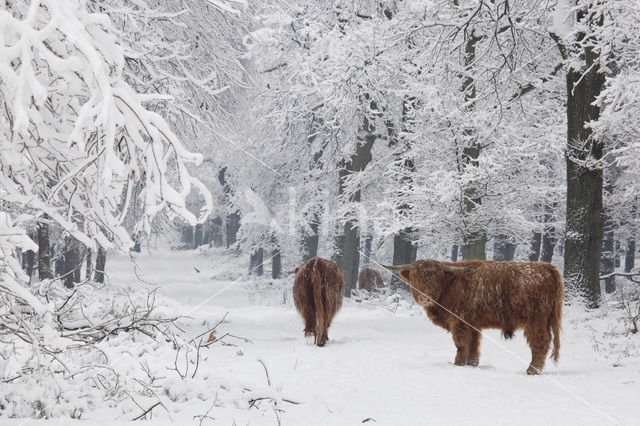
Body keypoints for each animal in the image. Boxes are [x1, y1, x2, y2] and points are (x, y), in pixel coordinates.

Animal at [382, 258, 564, 374]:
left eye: (436, 278)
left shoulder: (459, 322)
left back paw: (532, 370)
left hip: (535, 321)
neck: (450, 284)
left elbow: (461, 345)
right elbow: (474, 346)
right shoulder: (473, 324)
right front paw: (472, 365)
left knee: (540, 342)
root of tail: (545, 267)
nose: (424, 297)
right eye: (415, 277)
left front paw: (457, 364)